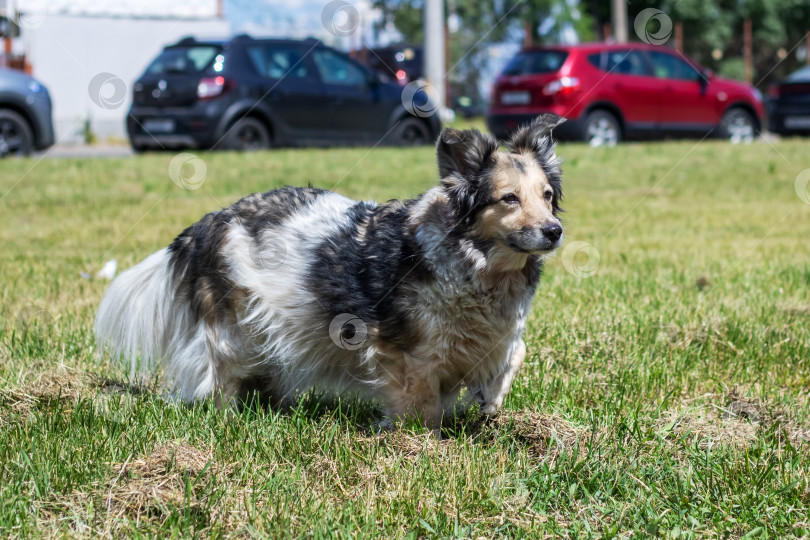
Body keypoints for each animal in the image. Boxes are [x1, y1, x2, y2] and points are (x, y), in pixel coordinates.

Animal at [96, 115, 560, 430]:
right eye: (509, 199)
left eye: (547, 196)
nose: (554, 231)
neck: (479, 267)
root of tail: (206, 224)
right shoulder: (406, 353)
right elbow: (420, 403)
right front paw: (419, 443)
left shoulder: (495, 334)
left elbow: (515, 352)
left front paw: (491, 400)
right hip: (233, 330)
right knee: (221, 375)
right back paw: (228, 419)